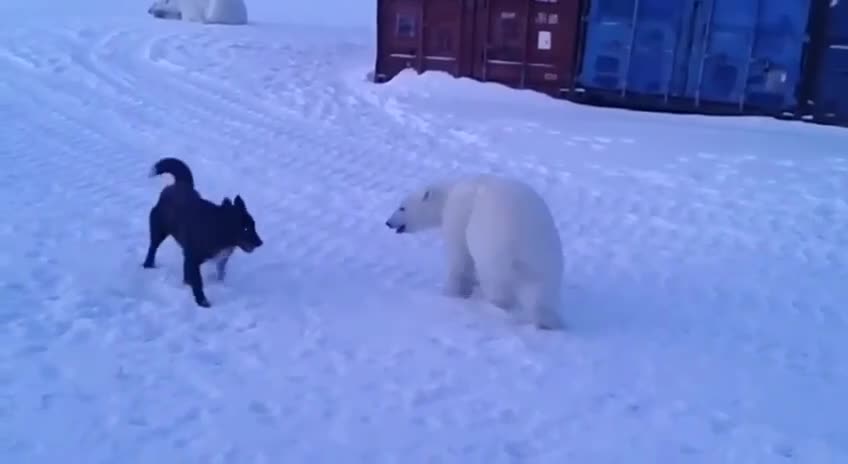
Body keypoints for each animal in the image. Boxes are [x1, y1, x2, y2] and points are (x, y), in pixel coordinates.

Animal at [142, 157, 264, 308]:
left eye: (253, 225)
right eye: (245, 228)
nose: (260, 243)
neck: (218, 229)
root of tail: (180, 183)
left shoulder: (220, 259)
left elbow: (220, 275)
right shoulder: (193, 259)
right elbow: (198, 284)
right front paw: (203, 303)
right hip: (159, 232)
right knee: (152, 249)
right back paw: (148, 266)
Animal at [388, 174, 568, 330]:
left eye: (402, 207)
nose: (388, 222)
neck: (450, 192)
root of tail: (524, 239)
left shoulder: (458, 216)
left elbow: (459, 258)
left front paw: (450, 292)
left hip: (495, 249)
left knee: (497, 286)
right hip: (546, 257)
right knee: (540, 292)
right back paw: (548, 322)